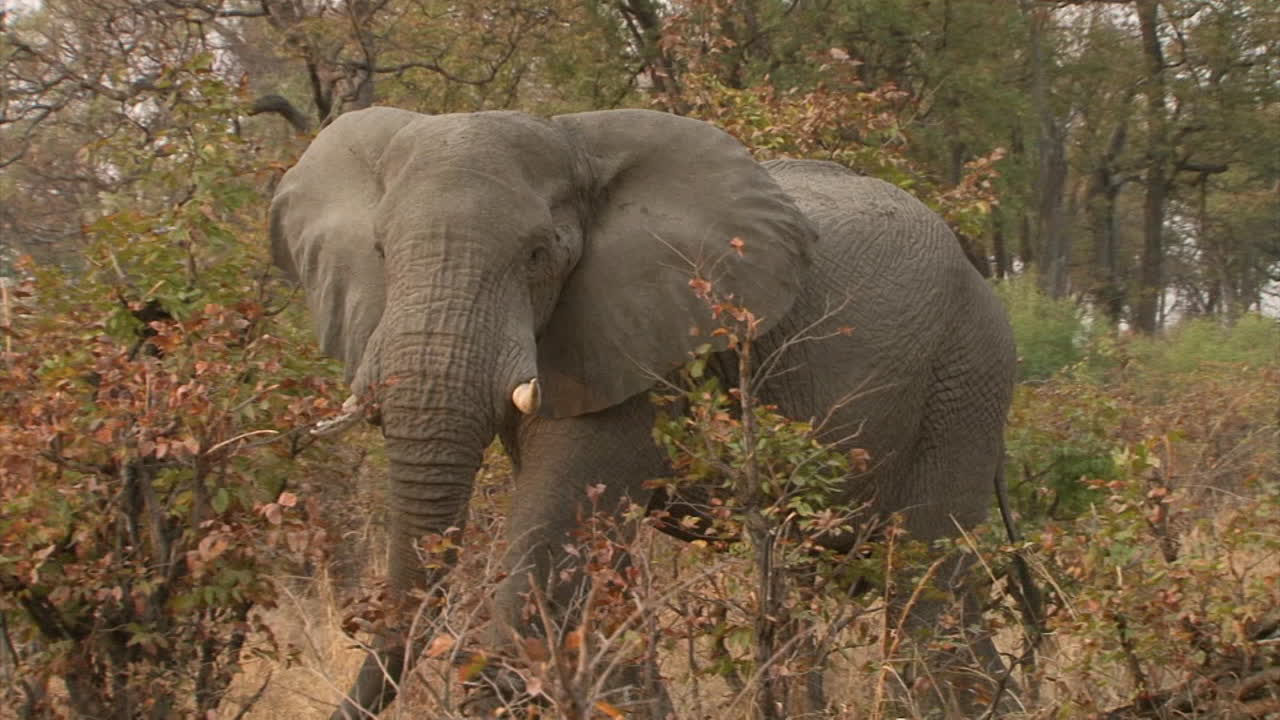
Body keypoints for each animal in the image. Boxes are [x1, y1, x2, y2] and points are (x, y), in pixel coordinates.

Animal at [269, 106, 1017, 719]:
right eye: (380, 252)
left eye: (539, 255)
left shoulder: (642, 337)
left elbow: (555, 516)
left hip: (966, 375)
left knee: (924, 582)